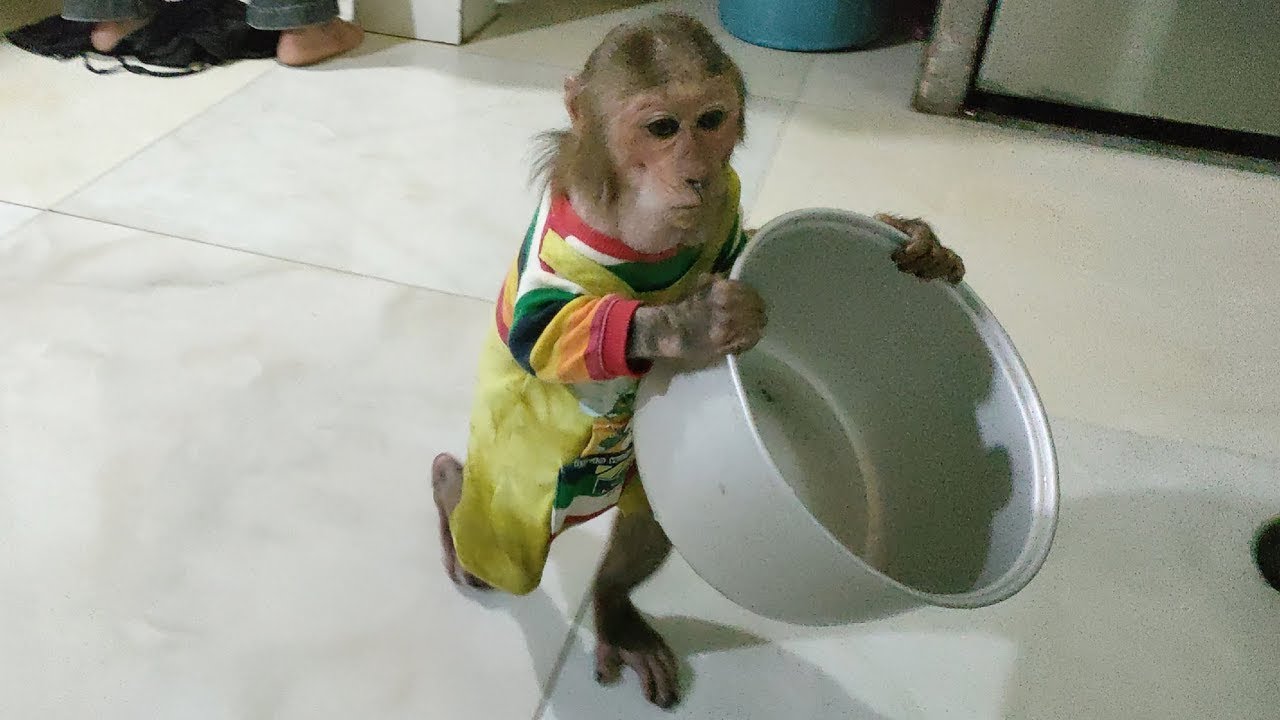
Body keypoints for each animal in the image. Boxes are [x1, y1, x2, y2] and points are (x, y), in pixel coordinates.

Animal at [431, 12, 965, 709]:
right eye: (662, 129)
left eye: (710, 120)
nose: (695, 173)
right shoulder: (563, 239)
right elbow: (549, 332)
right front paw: (697, 323)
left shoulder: (726, 207)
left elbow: (742, 242)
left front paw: (917, 239)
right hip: (512, 500)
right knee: (495, 559)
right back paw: (450, 492)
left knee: (648, 518)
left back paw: (613, 609)